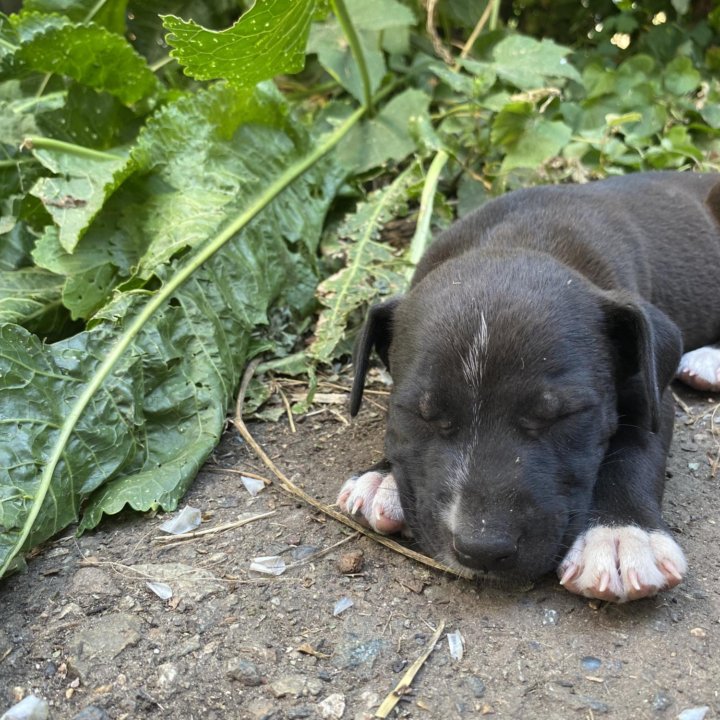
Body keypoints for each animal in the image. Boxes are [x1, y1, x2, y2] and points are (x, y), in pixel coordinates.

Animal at [340, 173, 720, 600]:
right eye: (421, 415)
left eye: (561, 416)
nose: (481, 549)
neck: (517, 238)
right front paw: (382, 477)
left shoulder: (650, 389)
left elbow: (635, 447)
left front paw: (620, 535)